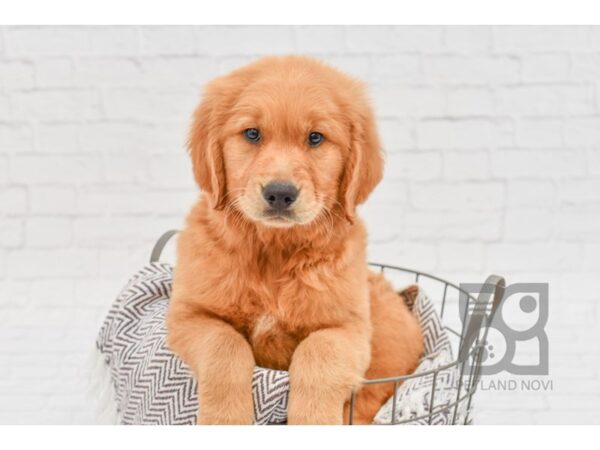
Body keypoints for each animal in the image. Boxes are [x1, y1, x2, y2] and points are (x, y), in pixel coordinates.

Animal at [166, 54, 424, 424]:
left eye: (315, 138)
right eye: (252, 134)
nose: (279, 193)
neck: (274, 251)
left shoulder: (348, 329)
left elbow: (319, 354)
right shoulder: (189, 315)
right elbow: (224, 345)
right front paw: (226, 419)